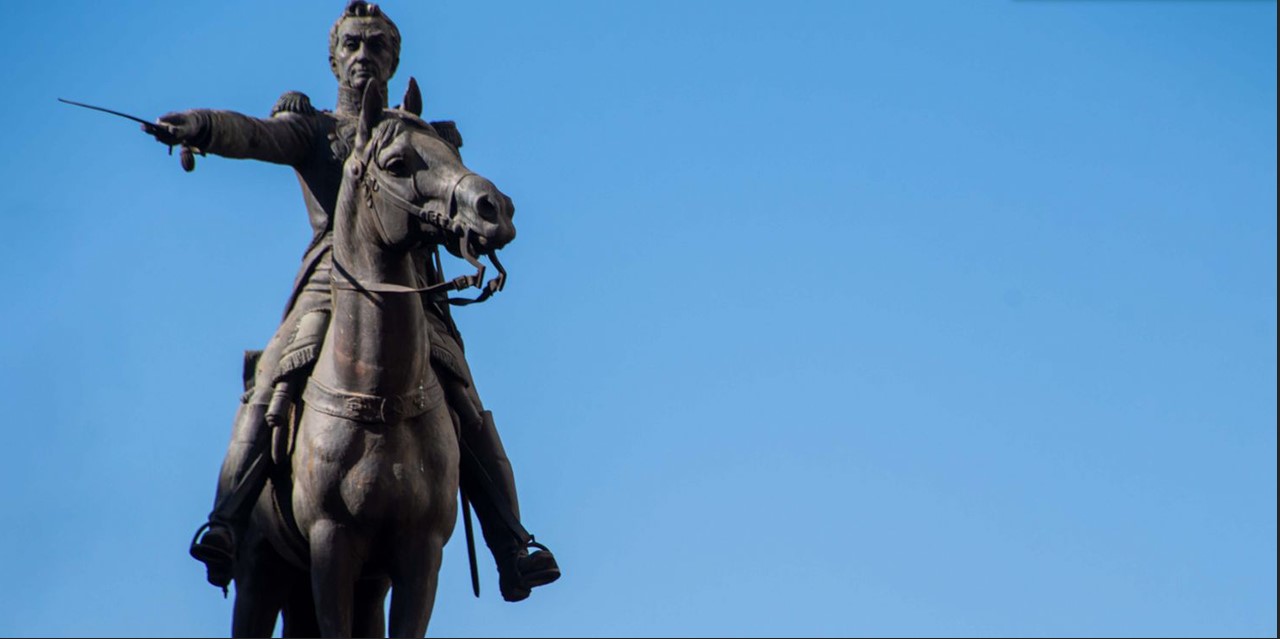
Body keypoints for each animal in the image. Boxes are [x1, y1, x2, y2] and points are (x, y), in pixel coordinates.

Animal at [227, 82, 517, 637]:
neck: (380, 396)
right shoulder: (331, 546)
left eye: (452, 151)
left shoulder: (418, 554)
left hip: (366, 585)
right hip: (260, 570)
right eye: (397, 163)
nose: (496, 208)